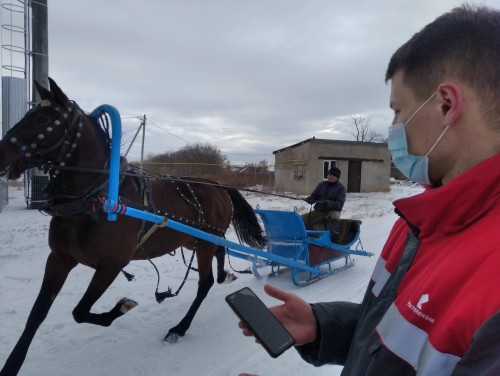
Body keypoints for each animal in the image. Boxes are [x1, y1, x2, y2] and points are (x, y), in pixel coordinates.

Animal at [0, 79, 266, 376]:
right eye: (29, 113)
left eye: (44, 119)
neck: (95, 199)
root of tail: (217, 186)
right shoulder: (59, 259)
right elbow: (37, 314)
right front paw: (12, 364)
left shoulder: (111, 265)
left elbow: (80, 312)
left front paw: (122, 307)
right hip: (195, 240)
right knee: (220, 253)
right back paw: (224, 276)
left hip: (203, 242)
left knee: (205, 283)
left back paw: (180, 327)